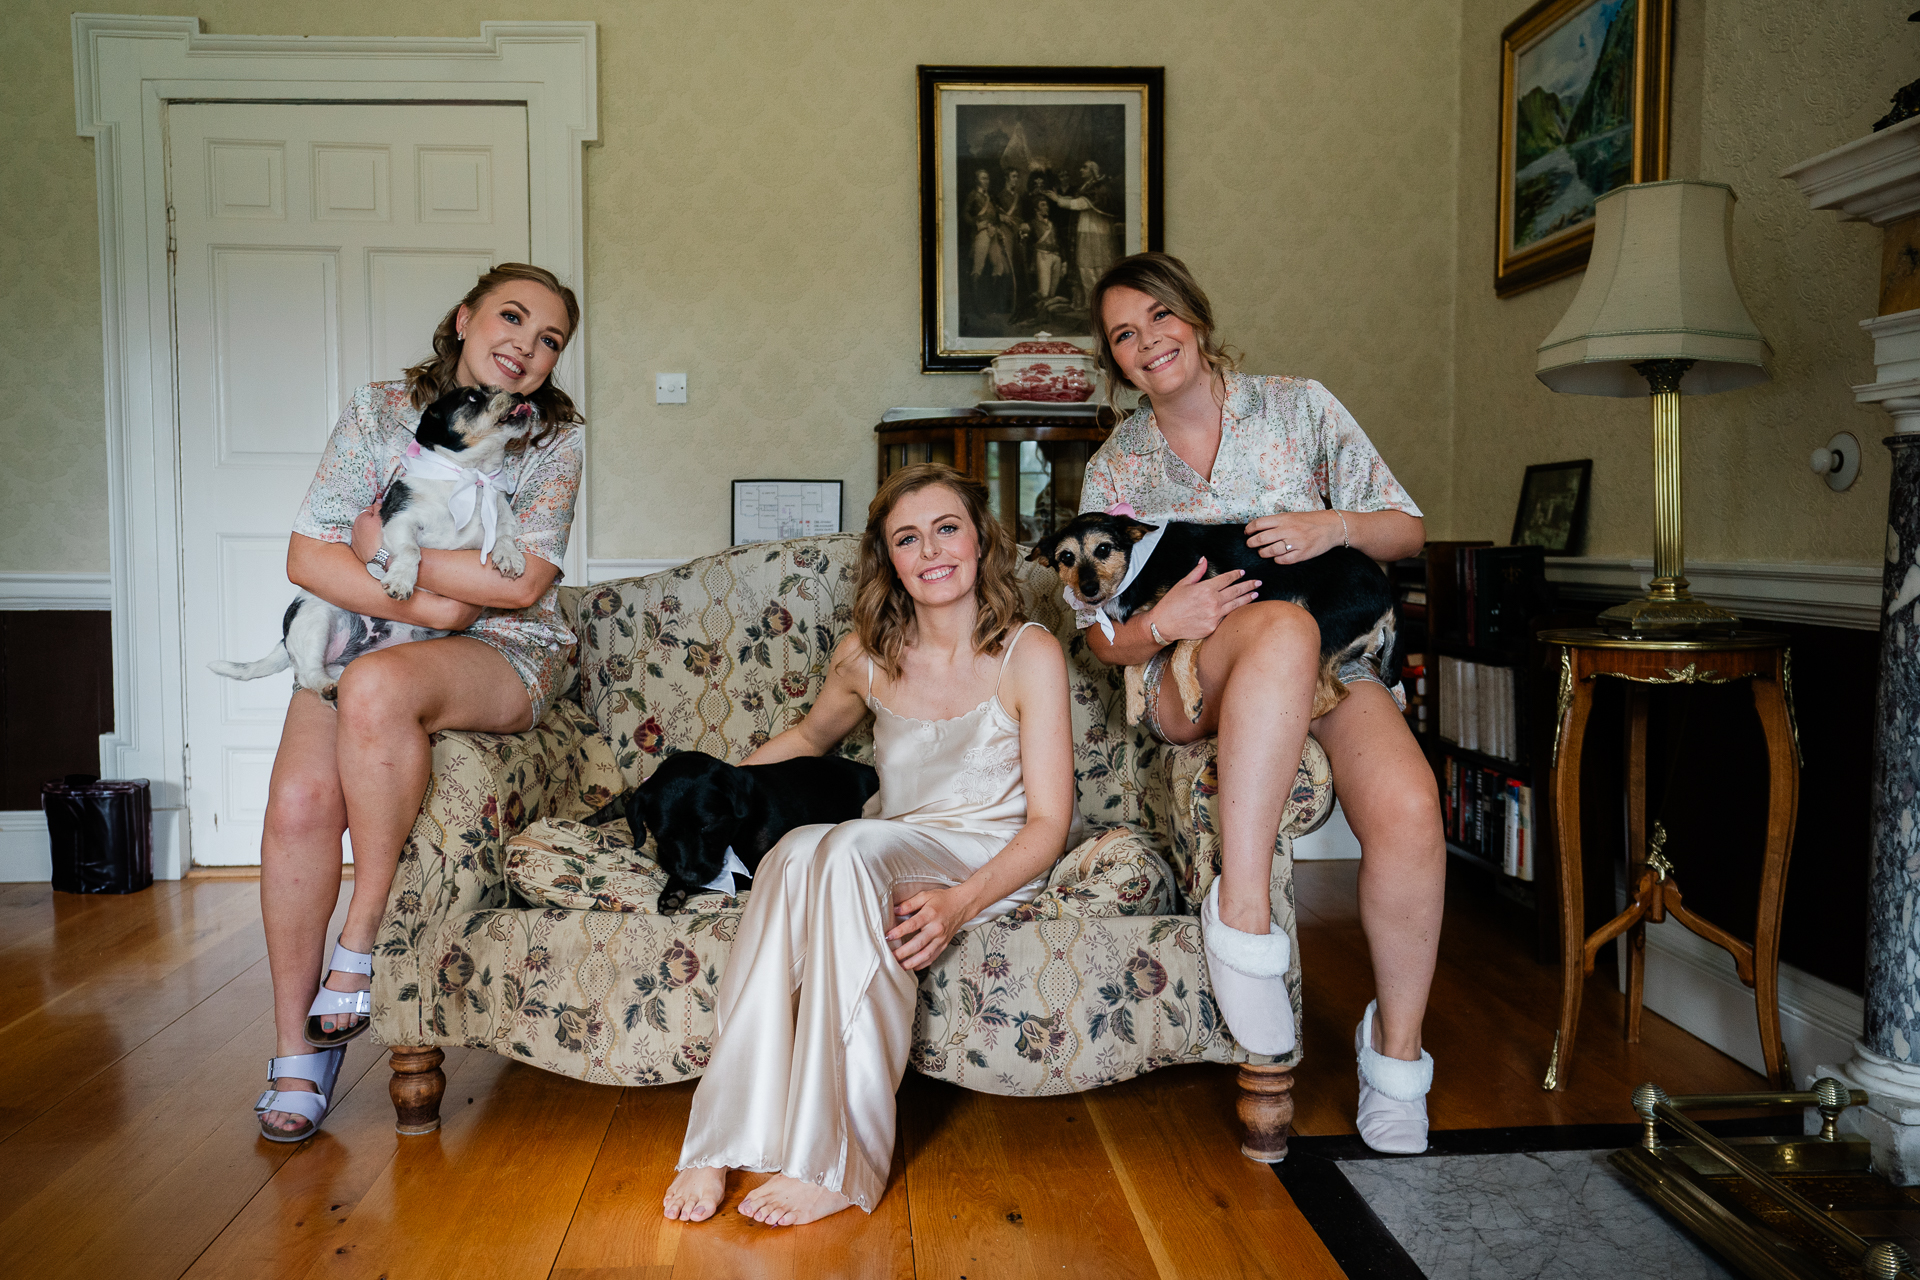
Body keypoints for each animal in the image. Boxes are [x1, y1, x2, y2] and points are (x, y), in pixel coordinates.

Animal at [210, 383, 537, 702]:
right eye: (473, 396)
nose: (521, 394)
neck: (467, 478)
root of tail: (286, 638)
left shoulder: (498, 519)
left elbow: (504, 535)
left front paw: (510, 557)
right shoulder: (400, 521)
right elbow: (412, 550)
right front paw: (402, 580)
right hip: (315, 619)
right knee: (308, 674)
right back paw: (326, 686)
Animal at [583, 752, 883, 921]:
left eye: (707, 827)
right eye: (663, 834)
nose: (690, 876)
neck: (737, 832)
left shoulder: (759, 868)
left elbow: (725, 879)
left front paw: (679, 888)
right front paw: (672, 890)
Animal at [1029, 510, 1390, 729]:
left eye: (1103, 549)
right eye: (1066, 557)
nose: (1087, 589)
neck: (1136, 569)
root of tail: (1386, 591)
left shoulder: (1201, 604)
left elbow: (1178, 658)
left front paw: (1191, 701)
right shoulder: (1157, 621)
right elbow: (1132, 664)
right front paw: (1134, 703)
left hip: (1321, 628)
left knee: (1333, 695)